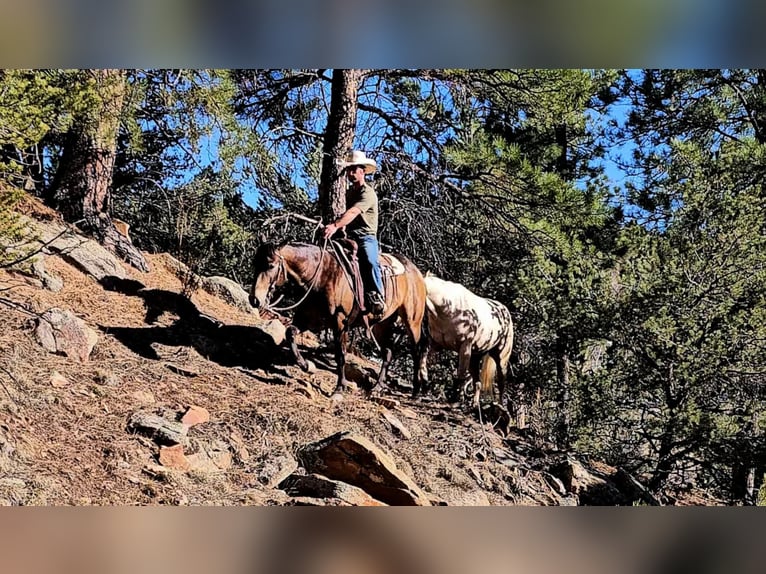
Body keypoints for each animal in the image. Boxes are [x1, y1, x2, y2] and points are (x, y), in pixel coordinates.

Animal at [252, 242, 432, 400]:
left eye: (270, 265)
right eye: (255, 264)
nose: (254, 299)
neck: (322, 276)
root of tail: (417, 272)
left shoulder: (340, 323)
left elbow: (340, 355)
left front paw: (339, 388)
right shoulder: (310, 320)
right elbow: (290, 333)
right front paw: (307, 366)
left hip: (412, 321)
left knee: (416, 351)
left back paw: (416, 391)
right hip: (381, 324)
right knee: (388, 352)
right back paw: (377, 387)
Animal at [420, 274, 516, 412]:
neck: (448, 308)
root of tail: (505, 312)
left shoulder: (464, 348)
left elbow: (460, 374)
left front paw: (456, 400)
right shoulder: (436, 343)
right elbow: (423, 357)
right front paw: (424, 383)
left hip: (501, 358)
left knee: (501, 383)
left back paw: (500, 407)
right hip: (475, 358)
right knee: (477, 382)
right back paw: (474, 404)